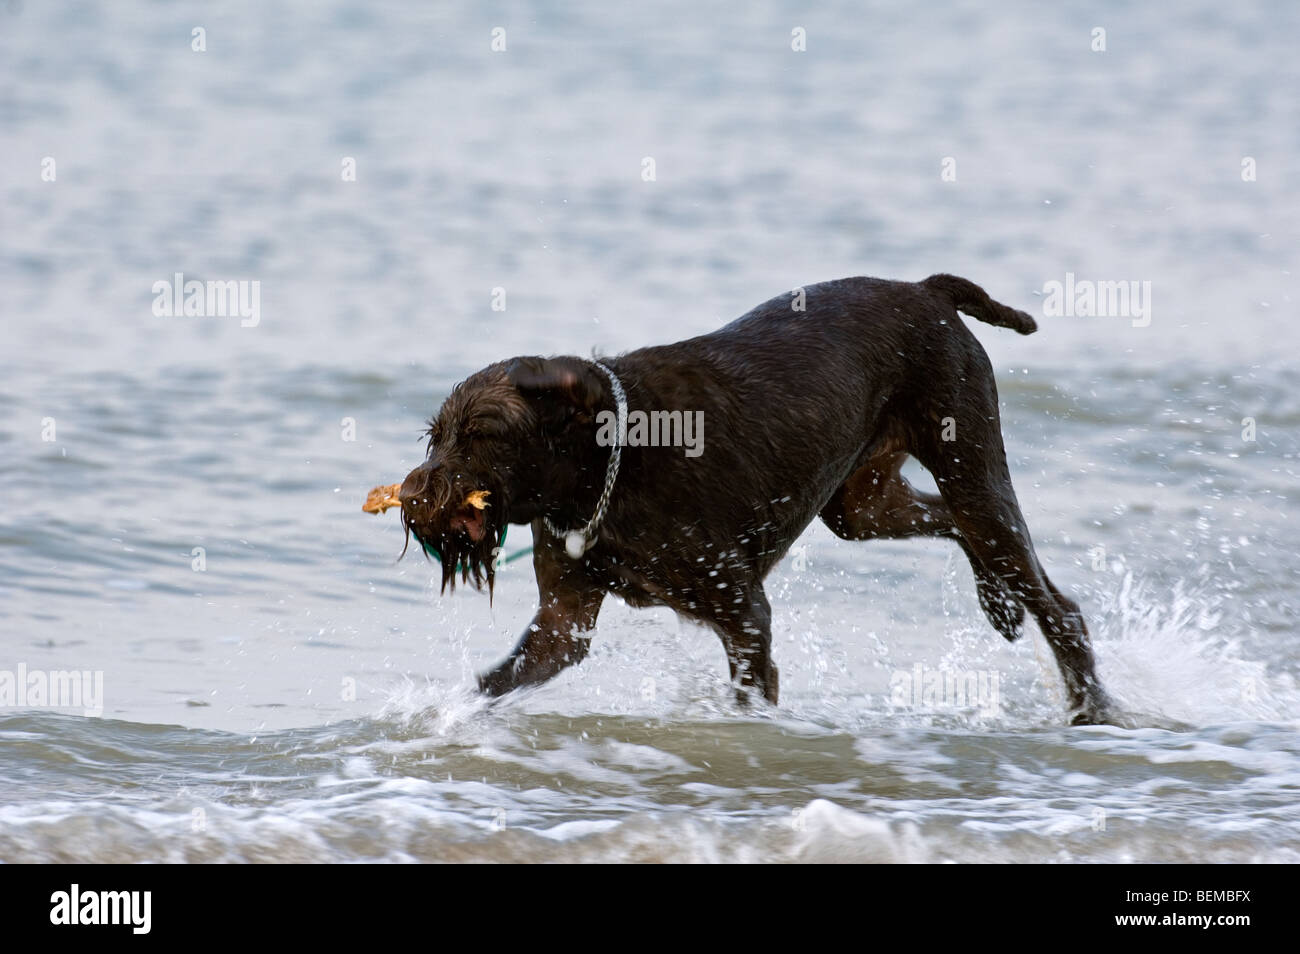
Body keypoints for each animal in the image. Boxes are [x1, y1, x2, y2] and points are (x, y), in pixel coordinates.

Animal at [395, 274, 1118, 722]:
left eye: (483, 436)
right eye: (436, 437)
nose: (409, 494)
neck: (604, 467)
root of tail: (928, 291)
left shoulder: (744, 614)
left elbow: (749, 694)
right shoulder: (562, 625)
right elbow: (494, 680)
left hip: (972, 472)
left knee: (1059, 606)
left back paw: (1093, 708)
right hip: (862, 508)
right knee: (956, 530)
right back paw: (998, 603)